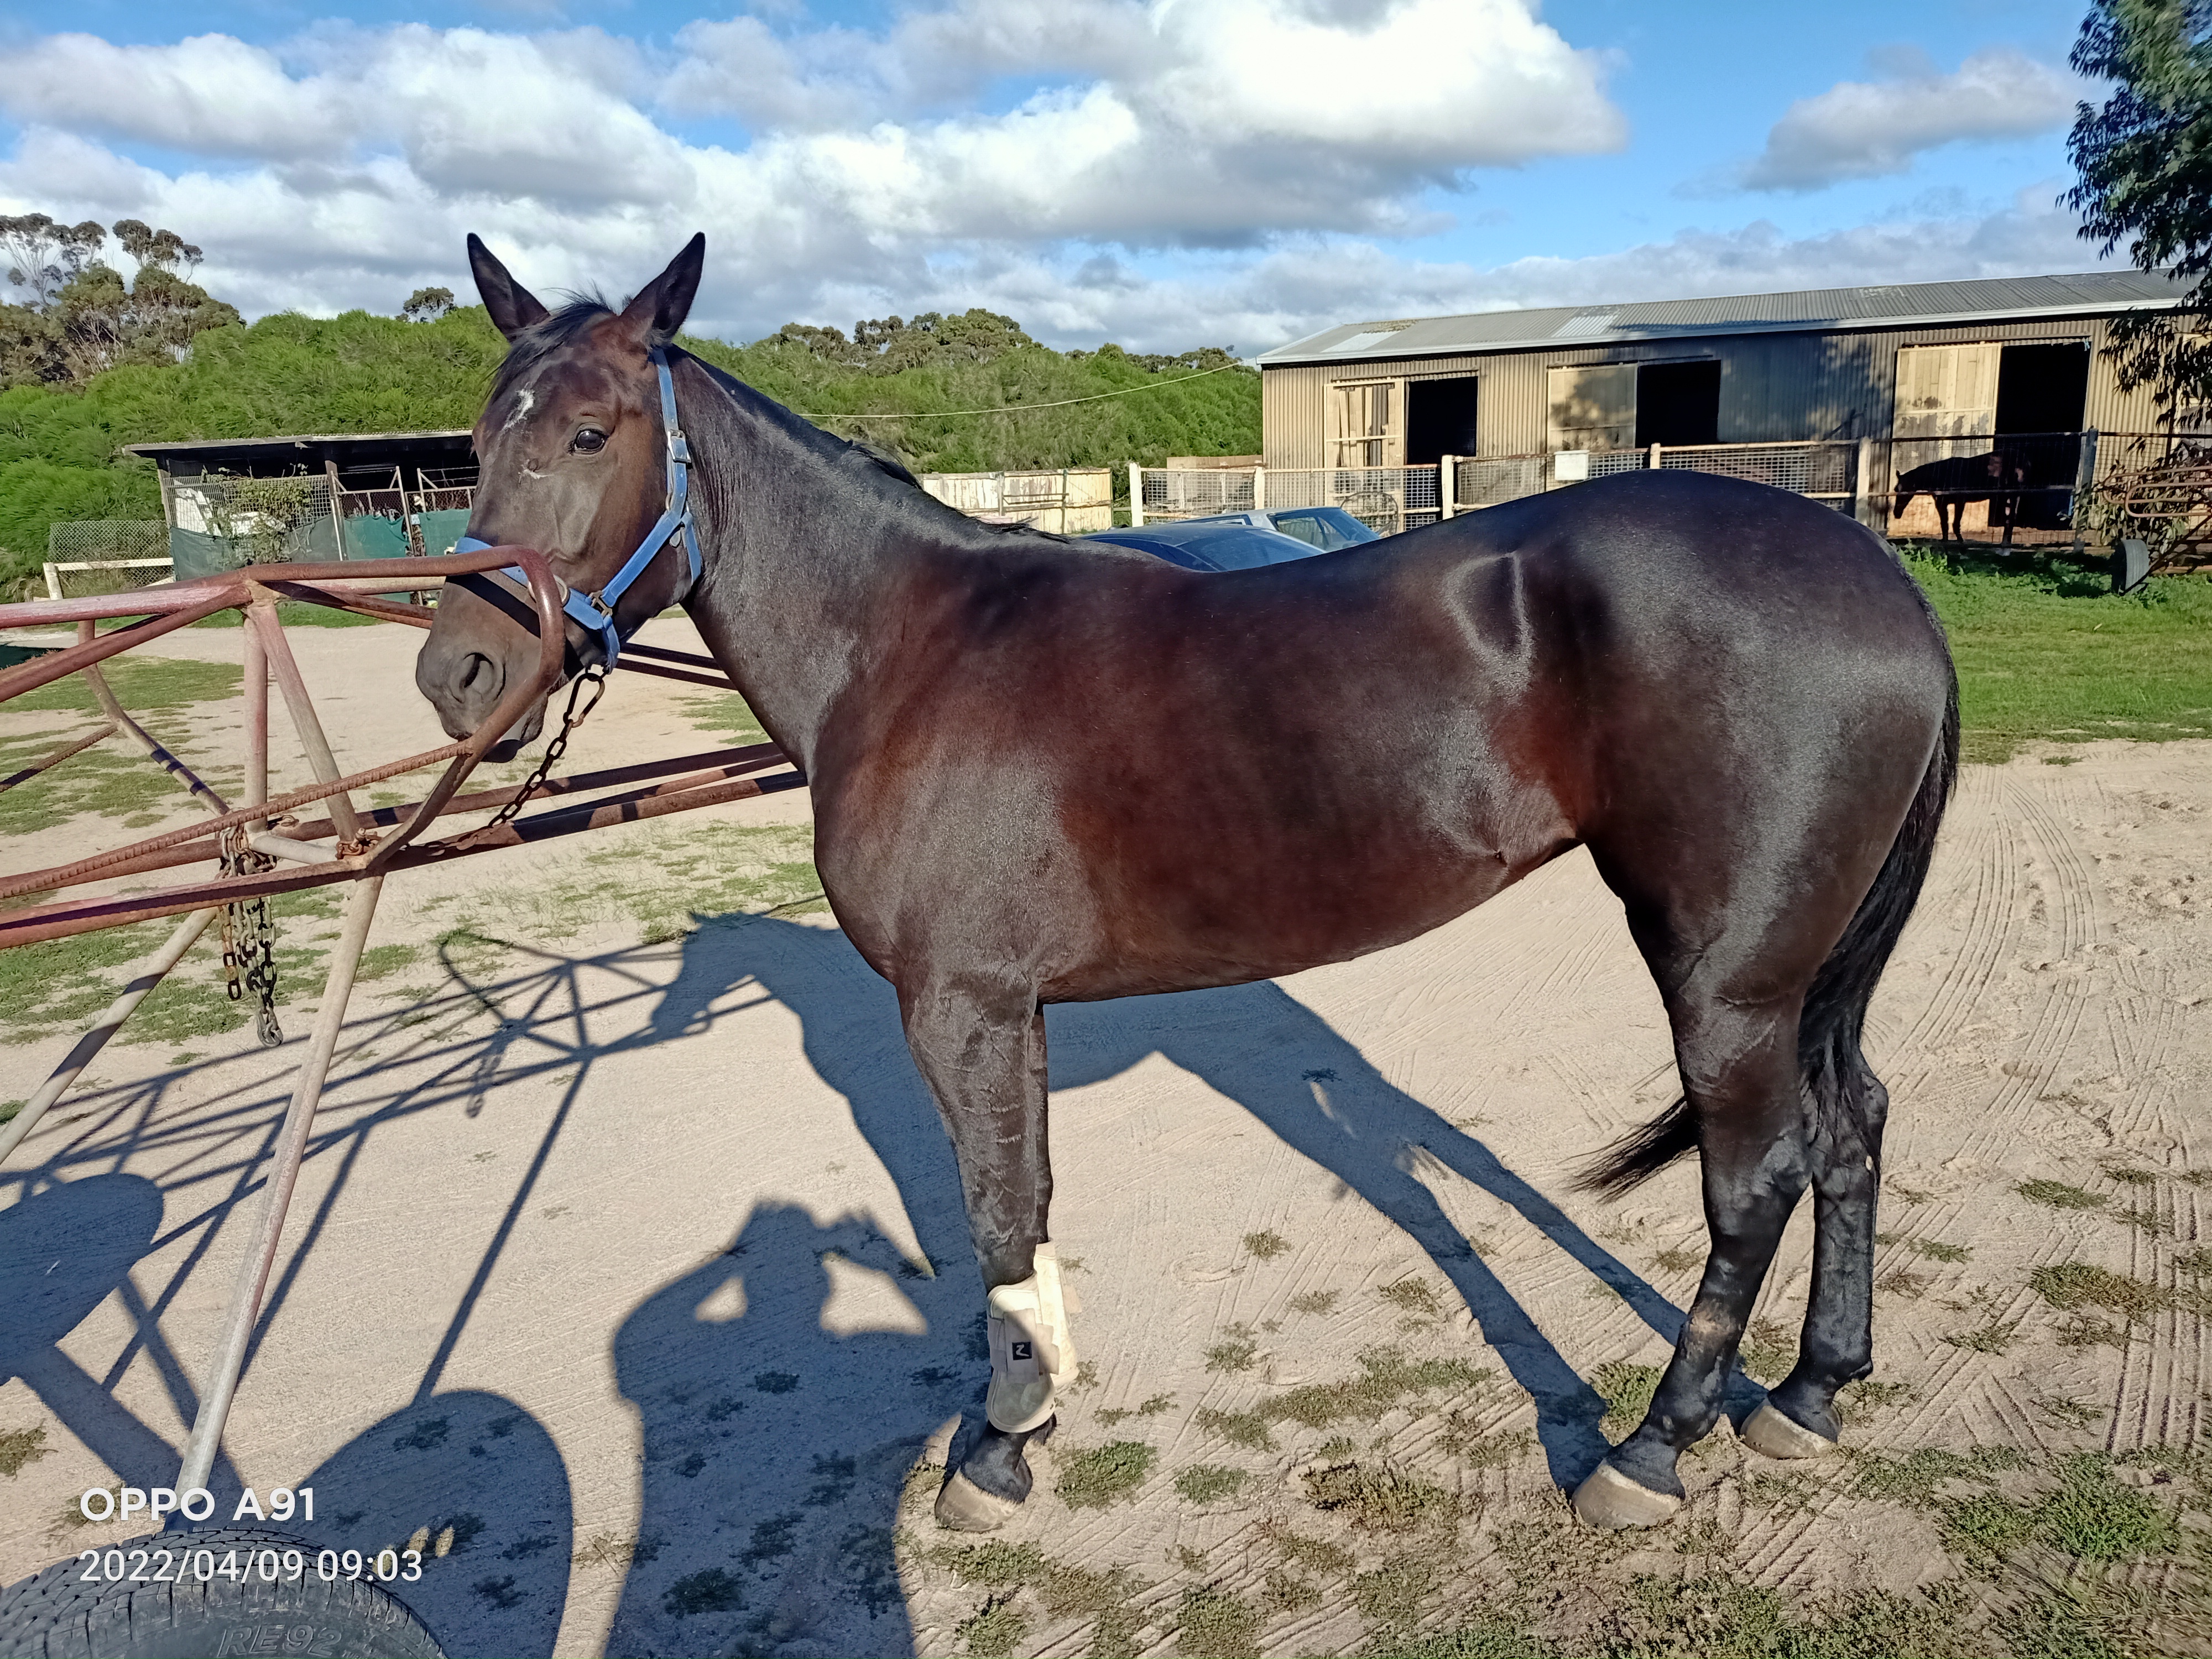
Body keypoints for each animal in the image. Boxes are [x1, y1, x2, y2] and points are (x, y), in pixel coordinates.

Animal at [415, 236, 1958, 1535]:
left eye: (591, 433)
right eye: (480, 442)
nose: (458, 675)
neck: (909, 649)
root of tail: (1876, 577)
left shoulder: (962, 1005)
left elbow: (997, 1214)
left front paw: (996, 1449)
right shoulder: (1006, 1012)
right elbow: (1025, 1204)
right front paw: (1027, 1420)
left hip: (1724, 971)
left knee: (1754, 1179)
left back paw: (1650, 1449)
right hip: (1797, 973)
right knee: (1853, 1129)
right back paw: (1808, 1394)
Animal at [1892, 449, 2031, 546]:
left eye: (1904, 491)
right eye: (1896, 490)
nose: (1896, 513)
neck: (1942, 475)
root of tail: (2025, 460)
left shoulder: (1960, 502)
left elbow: (1955, 524)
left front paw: (1961, 543)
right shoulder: (1941, 503)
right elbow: (1945, 524)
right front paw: (1945, 543)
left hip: (2013, 495)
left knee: (2011, 519)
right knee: (2009, 520)